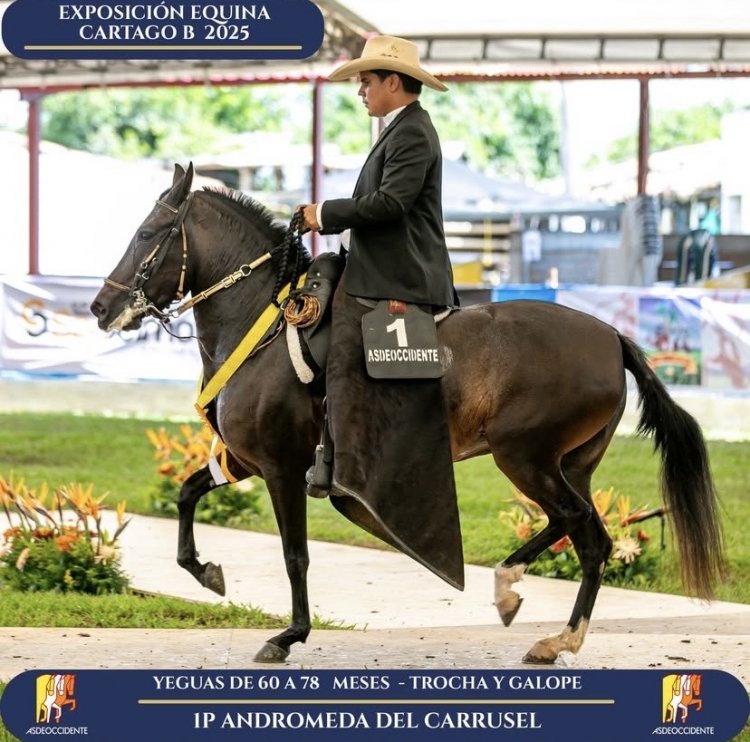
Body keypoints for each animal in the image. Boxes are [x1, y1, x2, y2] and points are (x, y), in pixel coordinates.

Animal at [90, 163, 725, 665]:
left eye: (147, 233)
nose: (100, 307)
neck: (264, 322)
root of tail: (611, 336)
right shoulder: (245, 460)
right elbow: (187, 495)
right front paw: (207, 572)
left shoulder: (280, 466)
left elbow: (295, 555)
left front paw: (289, 635)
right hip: (569, 464)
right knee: (578, 530)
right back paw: (522, 601)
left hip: (526, 457)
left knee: (585, 534)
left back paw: (547, 627)